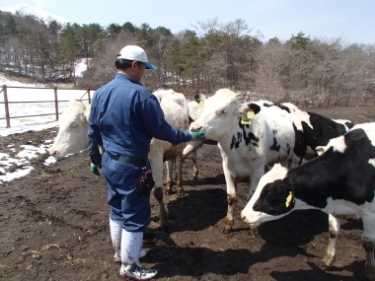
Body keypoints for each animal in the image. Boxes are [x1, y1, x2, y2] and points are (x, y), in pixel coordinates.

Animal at [189, 88, 296, 231]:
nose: (195, 127)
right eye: (204, 107)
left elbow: (251, 196)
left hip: (287, 159)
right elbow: (231, 196)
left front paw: (253, 226)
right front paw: (228, 223)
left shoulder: (257, 171)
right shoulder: (227, 168)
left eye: (223, 111)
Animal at [241, 122, 375, 280]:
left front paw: (370, 271)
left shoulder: (369, 213)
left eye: (269, 194)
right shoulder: (333, 204)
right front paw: (328, 260)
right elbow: (333, 231)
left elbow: (368, 243)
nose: (243, 215)